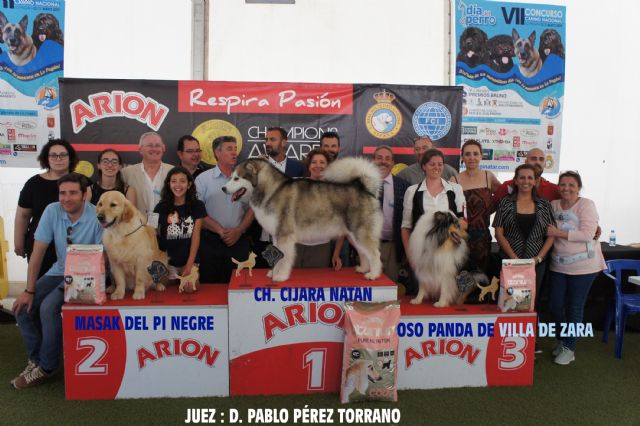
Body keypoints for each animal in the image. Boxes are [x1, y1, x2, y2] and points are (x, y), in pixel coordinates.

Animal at [222, 158, 382, 282]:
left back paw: (373, 274)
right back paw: (363, 269)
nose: (223, 188)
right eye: (231, 177)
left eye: (237, 178)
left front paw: (280, 276)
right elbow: (277, 255)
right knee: (363, 252)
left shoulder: (285, 235)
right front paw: (273, 272)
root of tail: (363, 188)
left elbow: (284, 258)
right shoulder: (276, 235)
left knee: (374, 253)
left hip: (360, 232)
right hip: (353, 235)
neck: (271, 190)